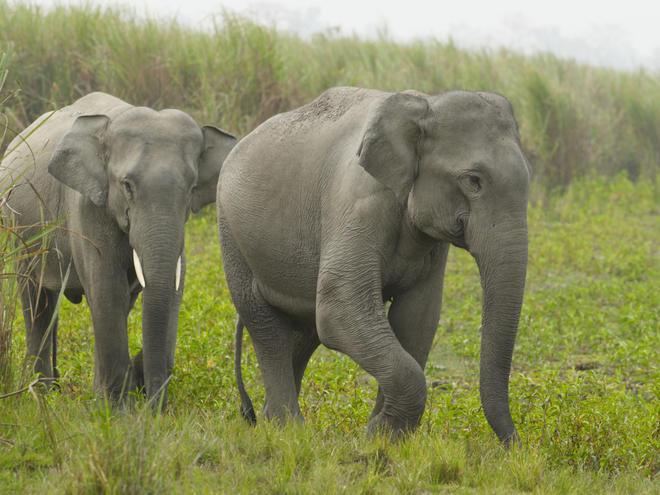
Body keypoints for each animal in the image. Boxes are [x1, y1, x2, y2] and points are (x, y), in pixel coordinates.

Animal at [0, 92, 235, 408]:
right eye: (127, 186)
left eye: (191, 188)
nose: (153, 407)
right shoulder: (86, 206)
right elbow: (107, 290)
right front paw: (115, 409)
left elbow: (162, 287)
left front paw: (110, 400)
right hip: (21, 232)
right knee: (37, 302)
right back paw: (43, 394)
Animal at [218, 87, 530, 444]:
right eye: (473, 180)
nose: (516, 446)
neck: (426, 104)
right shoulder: (358, 203)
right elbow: (340, 307)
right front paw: (380, 433)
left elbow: (417, 318)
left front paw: (384, 436)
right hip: (231, 233)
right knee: (266, 326)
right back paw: (288, 429)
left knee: (304, 330)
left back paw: (274, 421)